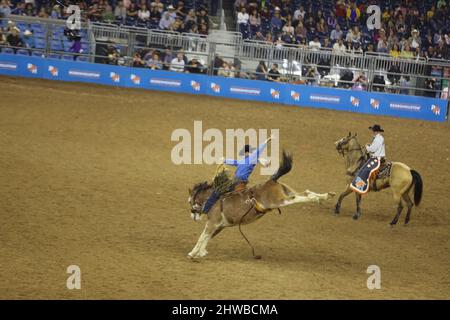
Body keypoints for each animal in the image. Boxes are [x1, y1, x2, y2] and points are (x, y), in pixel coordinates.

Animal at [185, 151, 334, 258]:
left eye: (190, 201)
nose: (192, 216)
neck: (215, 200)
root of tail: (272, 180)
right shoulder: (220, 226)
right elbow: (208, 237)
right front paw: (201, 252)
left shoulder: (212, 222)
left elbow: (202, 237)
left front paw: (193, 253)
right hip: (287, 191)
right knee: (306, 192)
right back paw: (325, 196)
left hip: (282, 200)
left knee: (299, 197)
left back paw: (318, 198)